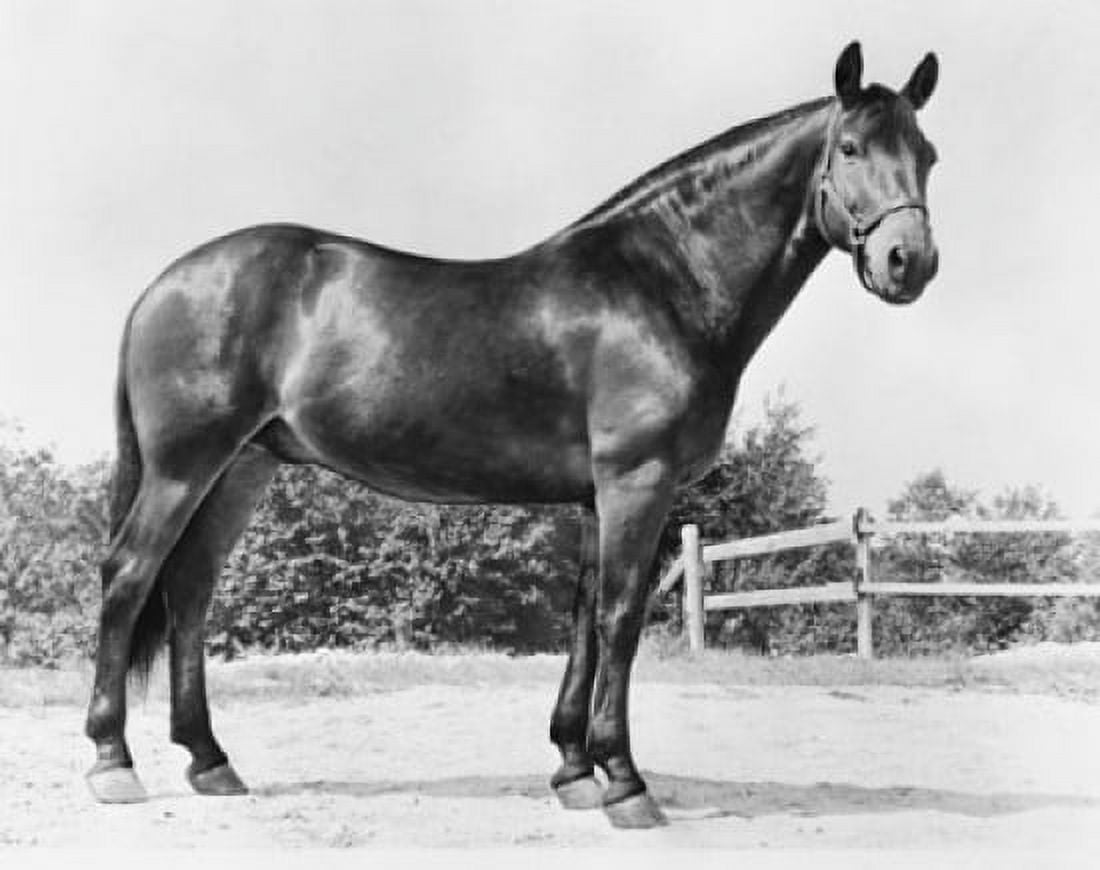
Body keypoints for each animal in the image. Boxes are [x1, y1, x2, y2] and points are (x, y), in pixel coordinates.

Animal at [85, 41, 939, 829]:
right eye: (851, 147)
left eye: (926, 154)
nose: (910, 263)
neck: (659, 285)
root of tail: (165, 284)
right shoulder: (637, 482)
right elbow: (621, 617)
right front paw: (625, 783)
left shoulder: (599, 497)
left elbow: (584, 617)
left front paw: (573, 771)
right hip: (184, 465)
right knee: (128, 576)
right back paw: (112, 763)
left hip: (243, 467)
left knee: (191, 588)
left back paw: (210, 761)